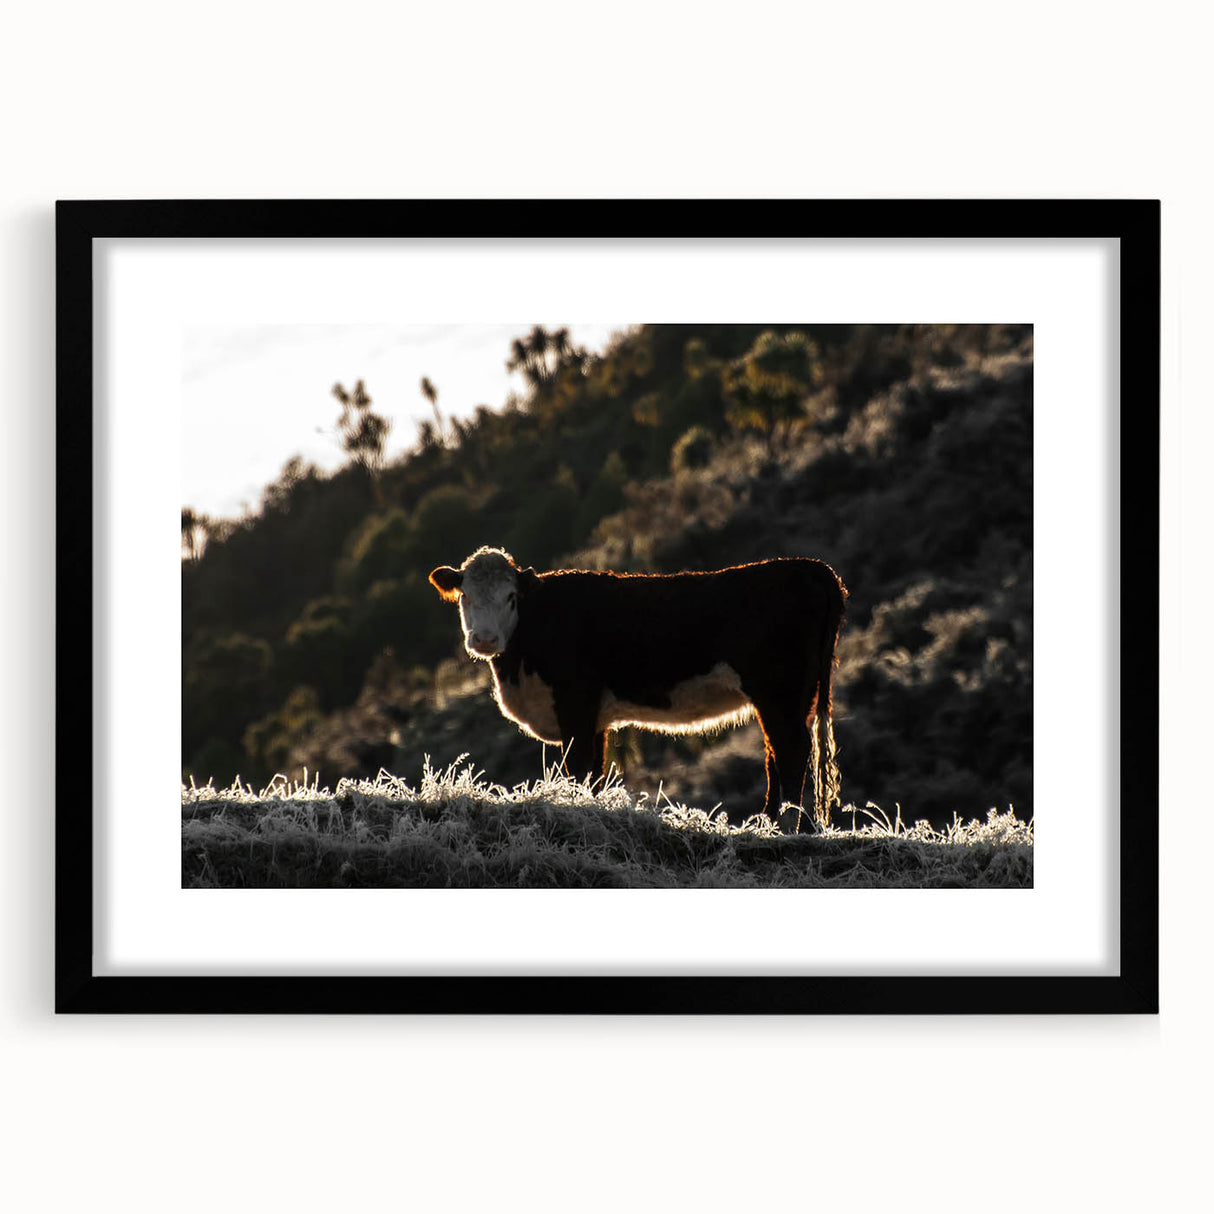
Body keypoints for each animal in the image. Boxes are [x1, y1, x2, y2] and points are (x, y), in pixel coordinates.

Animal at [428, 547, 847, 830]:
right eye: (465, 596)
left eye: (511, 597)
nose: (484, 639)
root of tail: (808, 566)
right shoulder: (595, 719)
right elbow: (595, 773)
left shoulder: (575, 705)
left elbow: (578, 768)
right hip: (790, 697)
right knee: (778, 752)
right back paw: (767, 823)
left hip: (779, 691)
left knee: (791, 751)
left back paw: (784, 825)